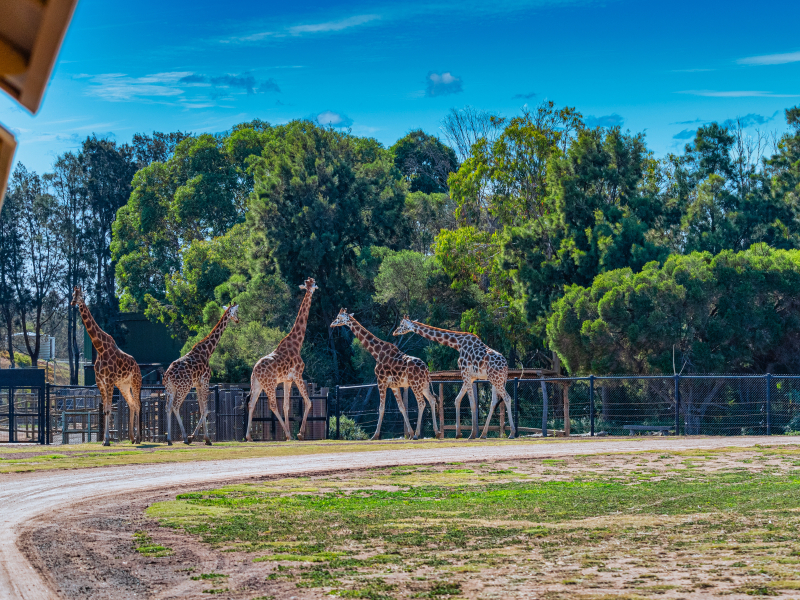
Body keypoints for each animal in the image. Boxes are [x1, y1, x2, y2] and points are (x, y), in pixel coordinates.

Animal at [70, 286, 142, 446]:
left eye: (81, 295)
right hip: (123, 385)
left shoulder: (109, 381)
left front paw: (107, 441)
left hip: (136, 382)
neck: (100, 348)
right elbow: (105, 410)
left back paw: (139, 438)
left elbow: (109, 410)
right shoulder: (100, 382)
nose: (73, 303)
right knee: (131, 404)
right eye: (72, 294)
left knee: (138, 404)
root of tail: (137, 366)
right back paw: (132, 438)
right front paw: (104, 440)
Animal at [162, 304, 238, 446]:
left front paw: (202, 438)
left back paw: (169, 439)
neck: (208, 351)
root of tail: (167, 375)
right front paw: (204, 438)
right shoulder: (205, 381)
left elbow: (202, 409)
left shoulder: (197, 384)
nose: (237, 320)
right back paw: (184, 437)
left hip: (171, 389)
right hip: (184, 388)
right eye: (236, 312)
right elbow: (206, 410)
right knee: (175, 406)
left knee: (168, 407)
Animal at [245, 276, 318, 440]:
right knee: (272, 405)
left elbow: (286, 406)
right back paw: (287, 434)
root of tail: (255, 371)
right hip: (270, 384)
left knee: (251, 403)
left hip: (257, 384)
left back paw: (249, 437)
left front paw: (291, 433)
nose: (315, 289)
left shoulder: (287, 380)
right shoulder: (298, 375)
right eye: (313, 284)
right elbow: (308, 401)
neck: (297, 343)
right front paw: (299, 434)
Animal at [332, 310, 444, 440]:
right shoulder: (394, 386)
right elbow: (402, 408)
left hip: (415, 384)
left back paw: (417, 434)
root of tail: (426, 369)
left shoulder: (381, 382)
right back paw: (436, 432)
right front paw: (409, 433)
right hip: (424, 384)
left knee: (421, 403)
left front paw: (375, 436)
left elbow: (381, 408)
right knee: (432, 399)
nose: (332, 324)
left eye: (339, 317)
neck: (376, 352)